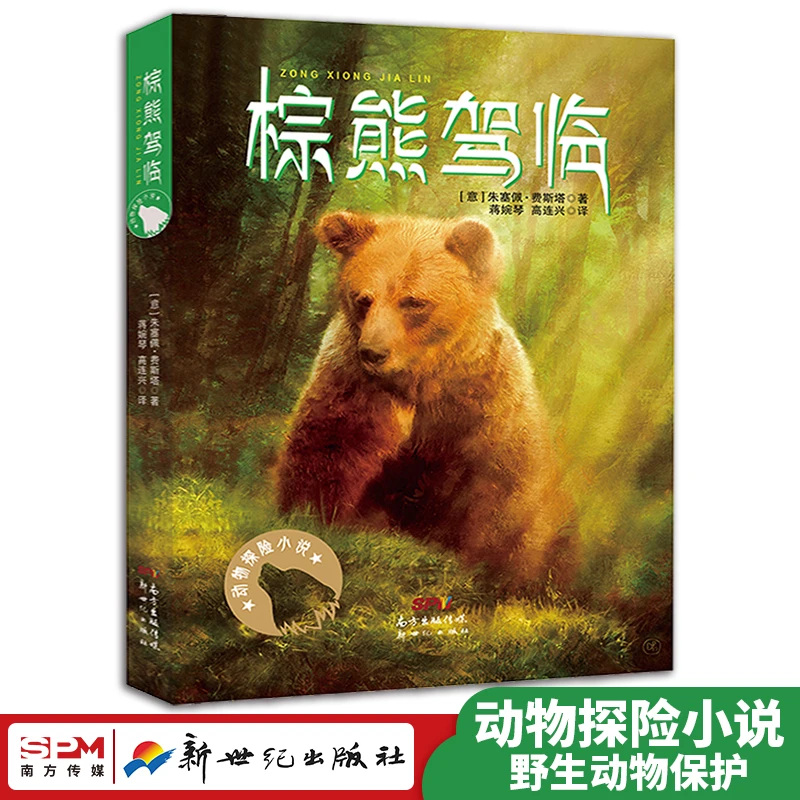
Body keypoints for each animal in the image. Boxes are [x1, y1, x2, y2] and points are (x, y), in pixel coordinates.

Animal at [276, 211, 576, 591]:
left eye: (414, 301)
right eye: (363, 298)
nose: (373, 352)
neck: (420, 380)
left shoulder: (486, 406)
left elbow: (498, 496)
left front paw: (486, 572)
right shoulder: (353, 387)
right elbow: (328, 451)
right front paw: (313, 519)